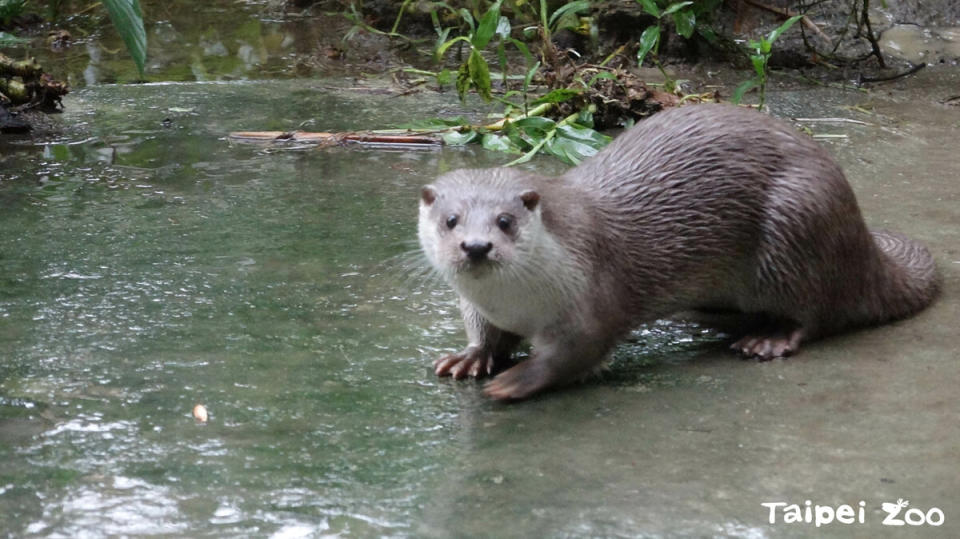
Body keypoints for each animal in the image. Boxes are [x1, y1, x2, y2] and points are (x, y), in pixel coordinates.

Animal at [418, 105, 936, 400]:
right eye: (451, 220)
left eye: (506, 221)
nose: (477, 246)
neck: (519, 303)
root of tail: (861, 238)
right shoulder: (483, 309)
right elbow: (486, 335)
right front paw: (470, 357)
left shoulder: (593, 297)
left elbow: (575, 353)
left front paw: (516, 380)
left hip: (797, 226)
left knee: (818, 313)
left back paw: (768, 340)